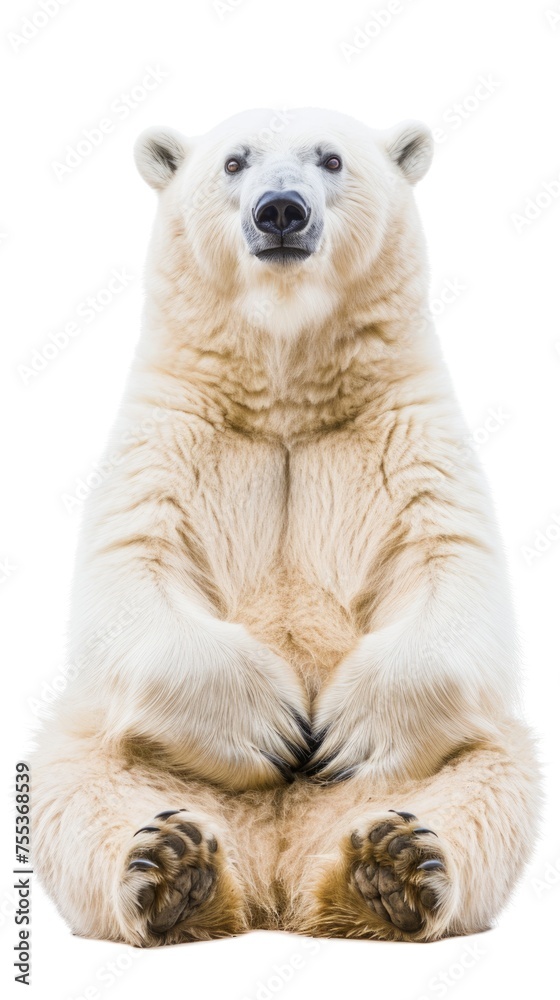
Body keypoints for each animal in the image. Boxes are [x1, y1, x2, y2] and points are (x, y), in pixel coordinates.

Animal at [33, 107, 540, 946]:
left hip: (445, 764)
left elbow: (453, 566)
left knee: (485, 786)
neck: (286, 390)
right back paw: (172, 871)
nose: (281, 211)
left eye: (330, 159)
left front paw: (339, 731)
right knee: (80, 794)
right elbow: (130, 567)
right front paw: (271, 725)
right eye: (234, 161)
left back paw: (390, 870)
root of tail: (276, 871)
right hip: (122, 753)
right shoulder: (173, 429)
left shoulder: (405, 430)